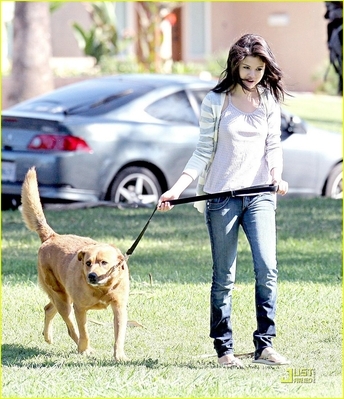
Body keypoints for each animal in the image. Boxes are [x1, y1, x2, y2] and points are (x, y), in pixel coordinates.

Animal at [20, 167, 130, 360]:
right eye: (88, 263)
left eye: (104, 262)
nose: (92, 276)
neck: (102, 289)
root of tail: (52, 236)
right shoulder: (80, 309)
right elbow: (84, 332)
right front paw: (85, 349)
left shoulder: (119, 308)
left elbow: (119, 335)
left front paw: (119, 356)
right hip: (63, 299)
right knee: (70, 327)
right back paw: (79, 346)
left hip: (62, 298)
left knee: (48, 309)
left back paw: (48, 337)